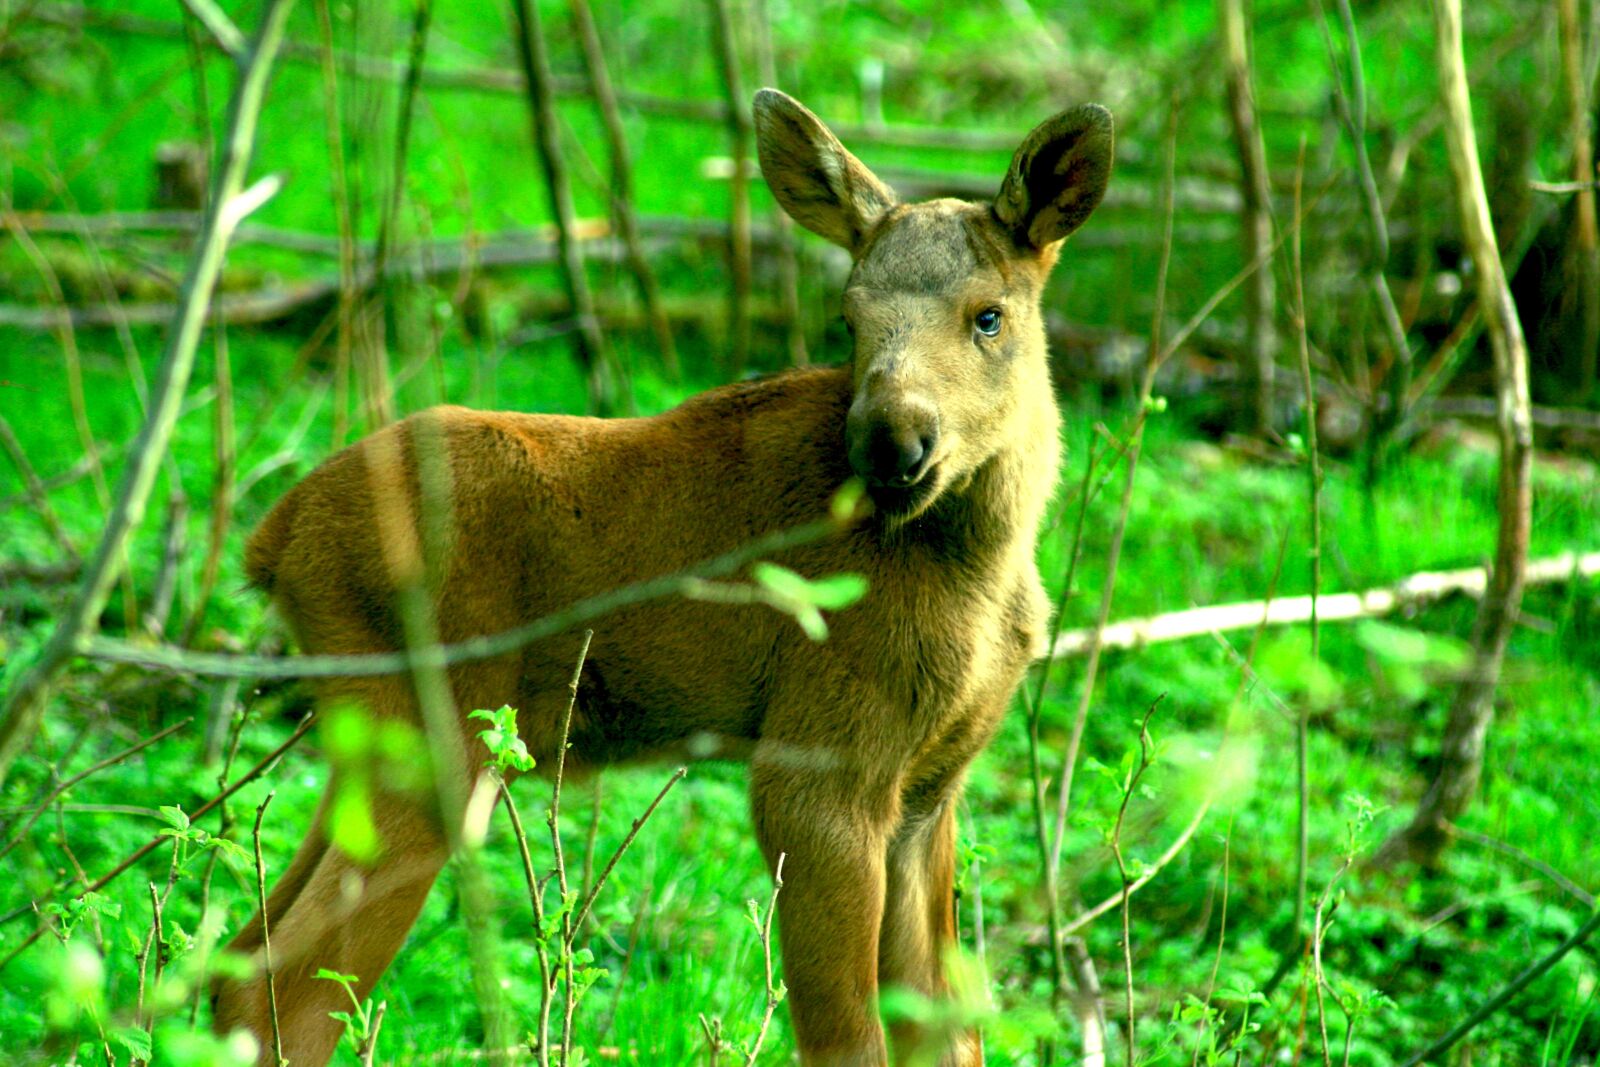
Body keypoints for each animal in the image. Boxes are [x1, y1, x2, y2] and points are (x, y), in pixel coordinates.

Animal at [211, 89, 1113, 1067]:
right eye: (848, 318)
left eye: (989, 314)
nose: (891, 443)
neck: (979, 567)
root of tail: (275, 537)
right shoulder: (815, 765)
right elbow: (847, 1035)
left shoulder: (928, 789)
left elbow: (944, 1032)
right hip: (431, 732)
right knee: (282, 994)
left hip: (368, 734)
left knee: (236, 960)